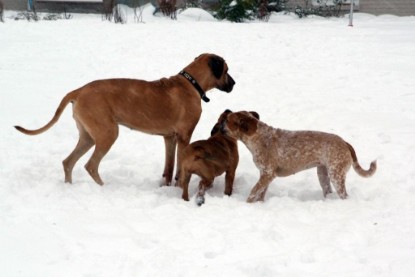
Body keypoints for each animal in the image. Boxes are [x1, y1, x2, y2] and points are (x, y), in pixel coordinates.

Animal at [14, 52, 236, 184]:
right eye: (227, 70)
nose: (234, 83)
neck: (191, 83)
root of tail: (78, 91)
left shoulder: (169, 138)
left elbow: (169, 165)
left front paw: (166, 185)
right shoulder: (184, 137)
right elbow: (180, 166)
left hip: (88, 136)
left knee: (68, 162)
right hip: (108, 133)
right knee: (90, 165)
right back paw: (102, 189)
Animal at [223, 111, 378, 202]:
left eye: (228, 120)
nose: (221, 126)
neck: (257, 136)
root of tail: (345, 142)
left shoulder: (267, 173)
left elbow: (253, 191)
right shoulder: (265, 175)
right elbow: (260, 193)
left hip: (336, 175)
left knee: (344, 195)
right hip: (323, 174)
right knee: (328, 190)